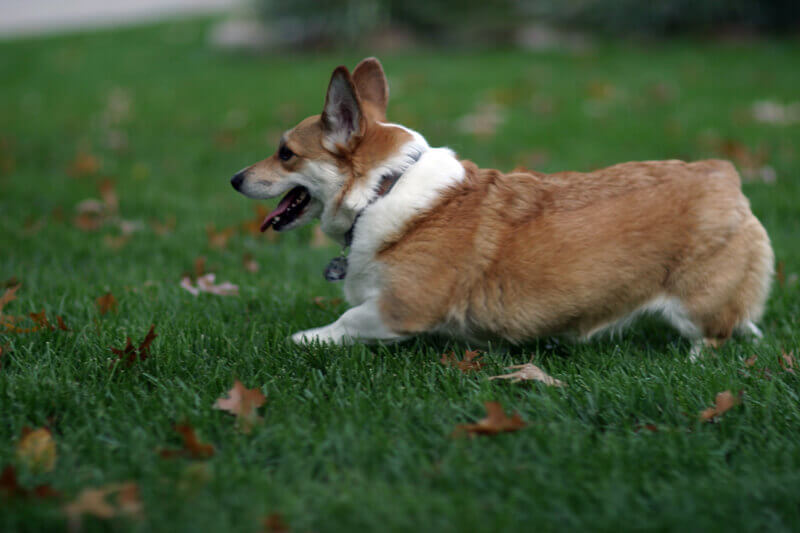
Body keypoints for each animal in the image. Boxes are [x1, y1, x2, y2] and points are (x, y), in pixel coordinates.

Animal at [228, 57, 772, 358]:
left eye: (284, 153)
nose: (235, 179)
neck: (383, 189)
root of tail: (723, 173)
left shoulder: (400, 308)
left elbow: (346, 321)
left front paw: (303, 338)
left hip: (696, 304)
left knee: (719, 335)